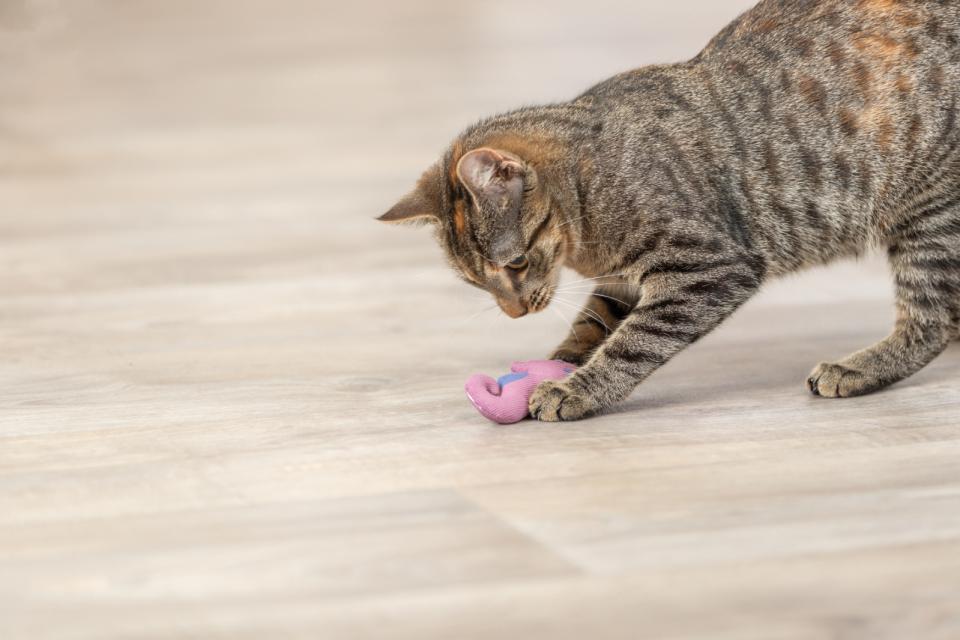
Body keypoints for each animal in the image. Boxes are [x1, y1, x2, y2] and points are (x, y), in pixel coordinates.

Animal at [378, 0, 960, 422]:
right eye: (479, 283)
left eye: (515, 264)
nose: (515, 313)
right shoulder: (622, 279)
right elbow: (592, 325)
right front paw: (562, 362)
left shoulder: (708, 268)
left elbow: (635, 342)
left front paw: (578, 389)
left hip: (928, 211)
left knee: (929, 320)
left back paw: (860, 367)